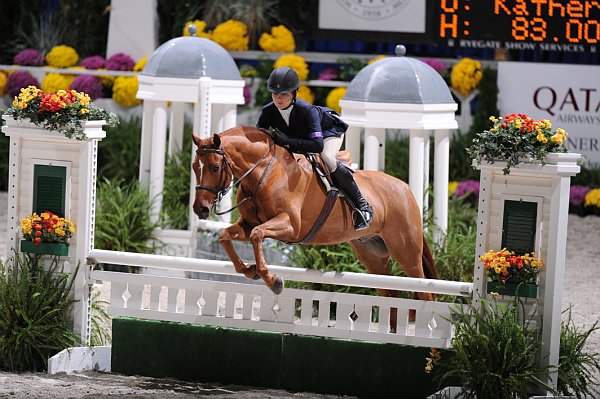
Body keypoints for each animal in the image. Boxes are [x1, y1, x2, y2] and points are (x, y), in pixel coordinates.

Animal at [192, 128, 436, 304]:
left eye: (215, 167)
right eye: (195, 166)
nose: (199, 209)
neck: (264, 173)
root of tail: (405, 187)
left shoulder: (290, 226)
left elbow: (257, 235)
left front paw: (273, 281)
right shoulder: (250, 223)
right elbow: (226, 235)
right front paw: (249, 270)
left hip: (406, 251)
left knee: (424, 291)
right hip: (372, 254)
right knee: (390, 295)